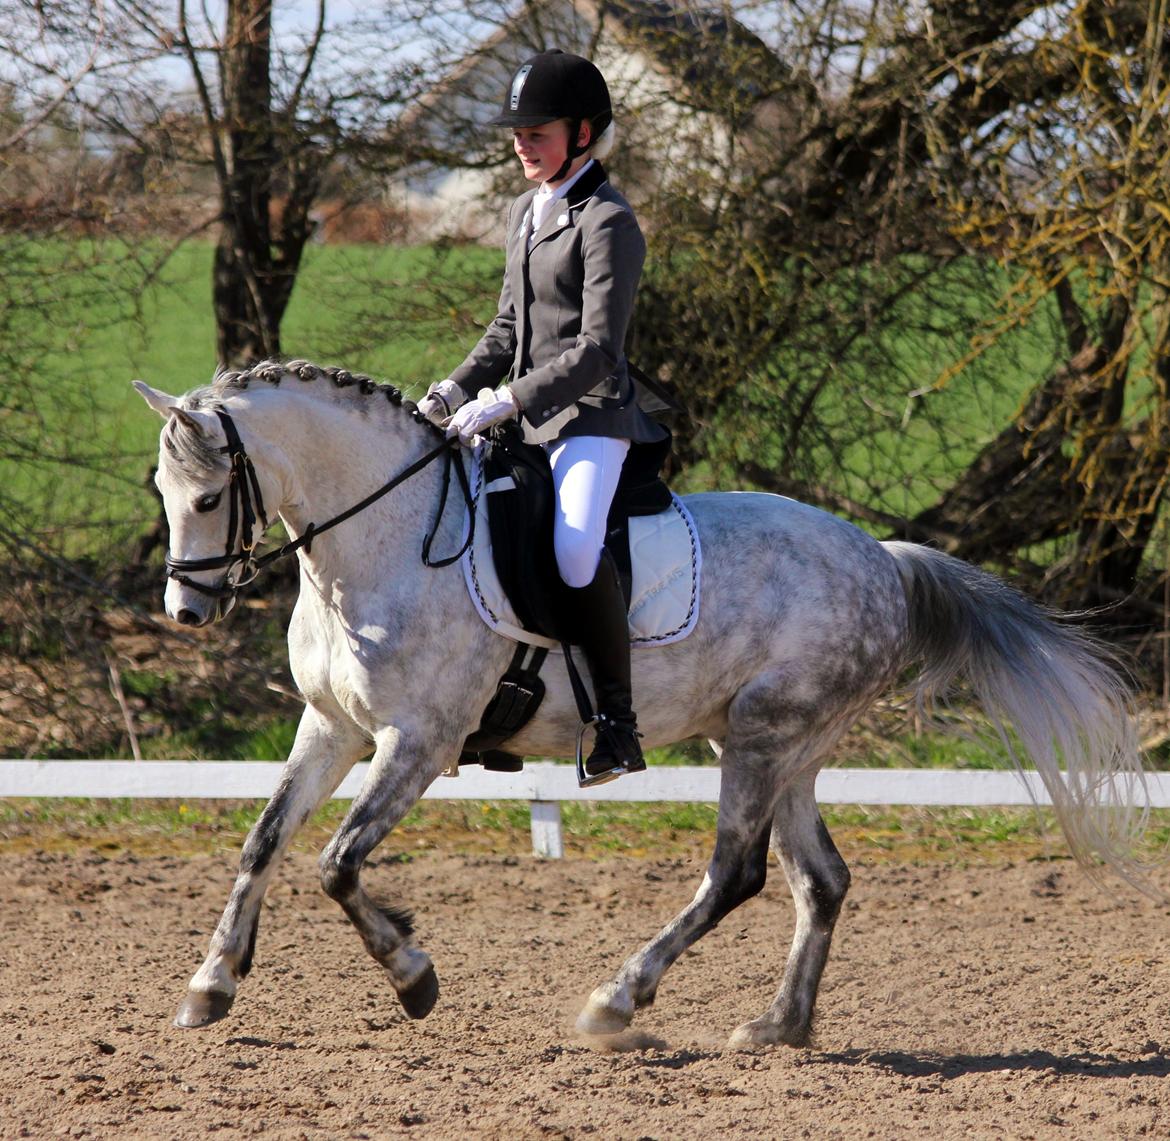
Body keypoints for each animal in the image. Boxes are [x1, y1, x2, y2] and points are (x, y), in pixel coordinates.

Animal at [134, 360, 1151, 1048]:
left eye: (212, 495)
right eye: (164, 491)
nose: (186, 609)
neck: (382, 538)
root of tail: (883, 561)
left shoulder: (418, 740)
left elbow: (338, 863)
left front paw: (414, 975)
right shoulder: (332, 726)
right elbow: (265, 840)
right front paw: (211, 984)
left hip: (763, 738)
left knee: (736, 874)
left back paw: (616, 1000)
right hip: (780, 745)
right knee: (819, 879)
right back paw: (777, 1026)